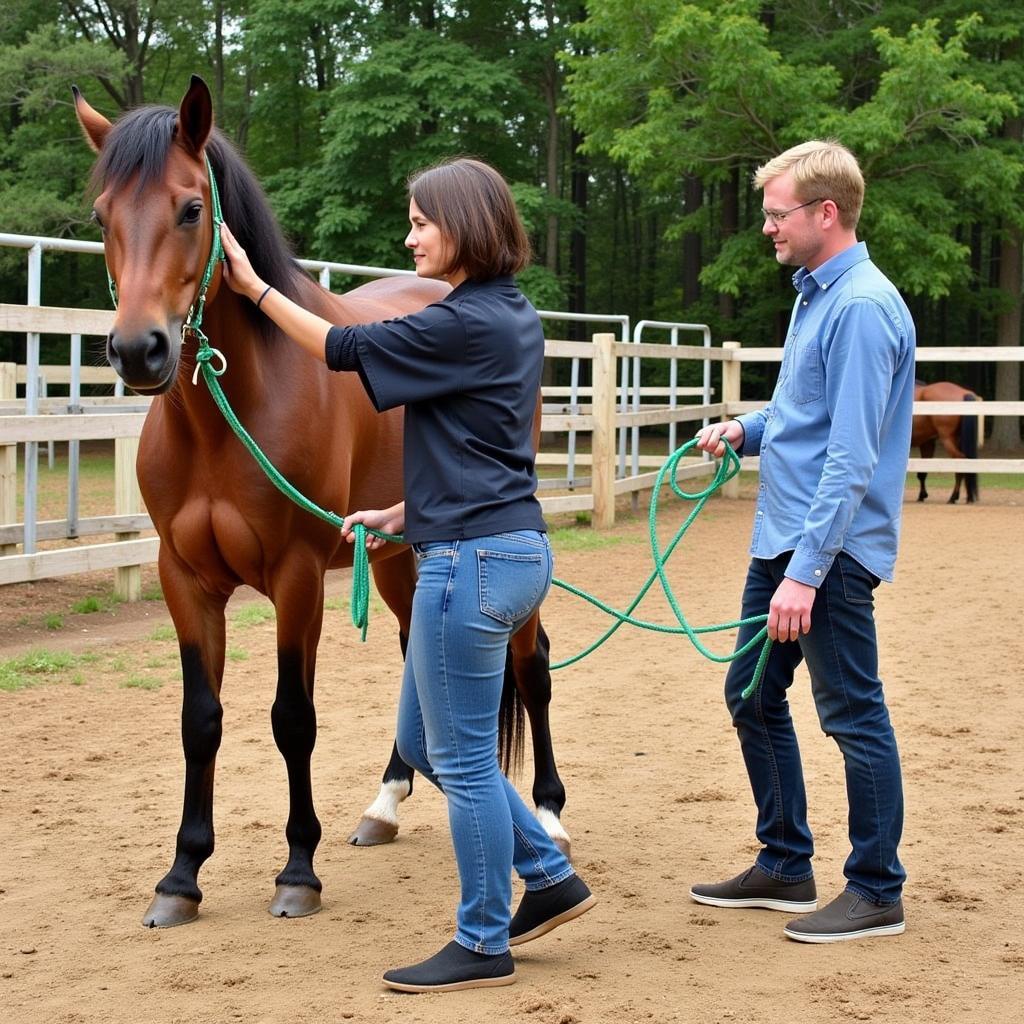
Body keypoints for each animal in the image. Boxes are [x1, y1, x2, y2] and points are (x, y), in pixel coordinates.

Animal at [72, 77, 569, 929]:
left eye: (190, 209)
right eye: (102, 217)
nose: (139, 351)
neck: (229, 415)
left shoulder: (297, 576)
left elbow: (290, 718)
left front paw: (297, 870)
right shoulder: (184, 580)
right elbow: (200, 721)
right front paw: (181, 876)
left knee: (530, 664)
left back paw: (548, 811)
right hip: (398, 556)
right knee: (414, 659)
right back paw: (388, 802)